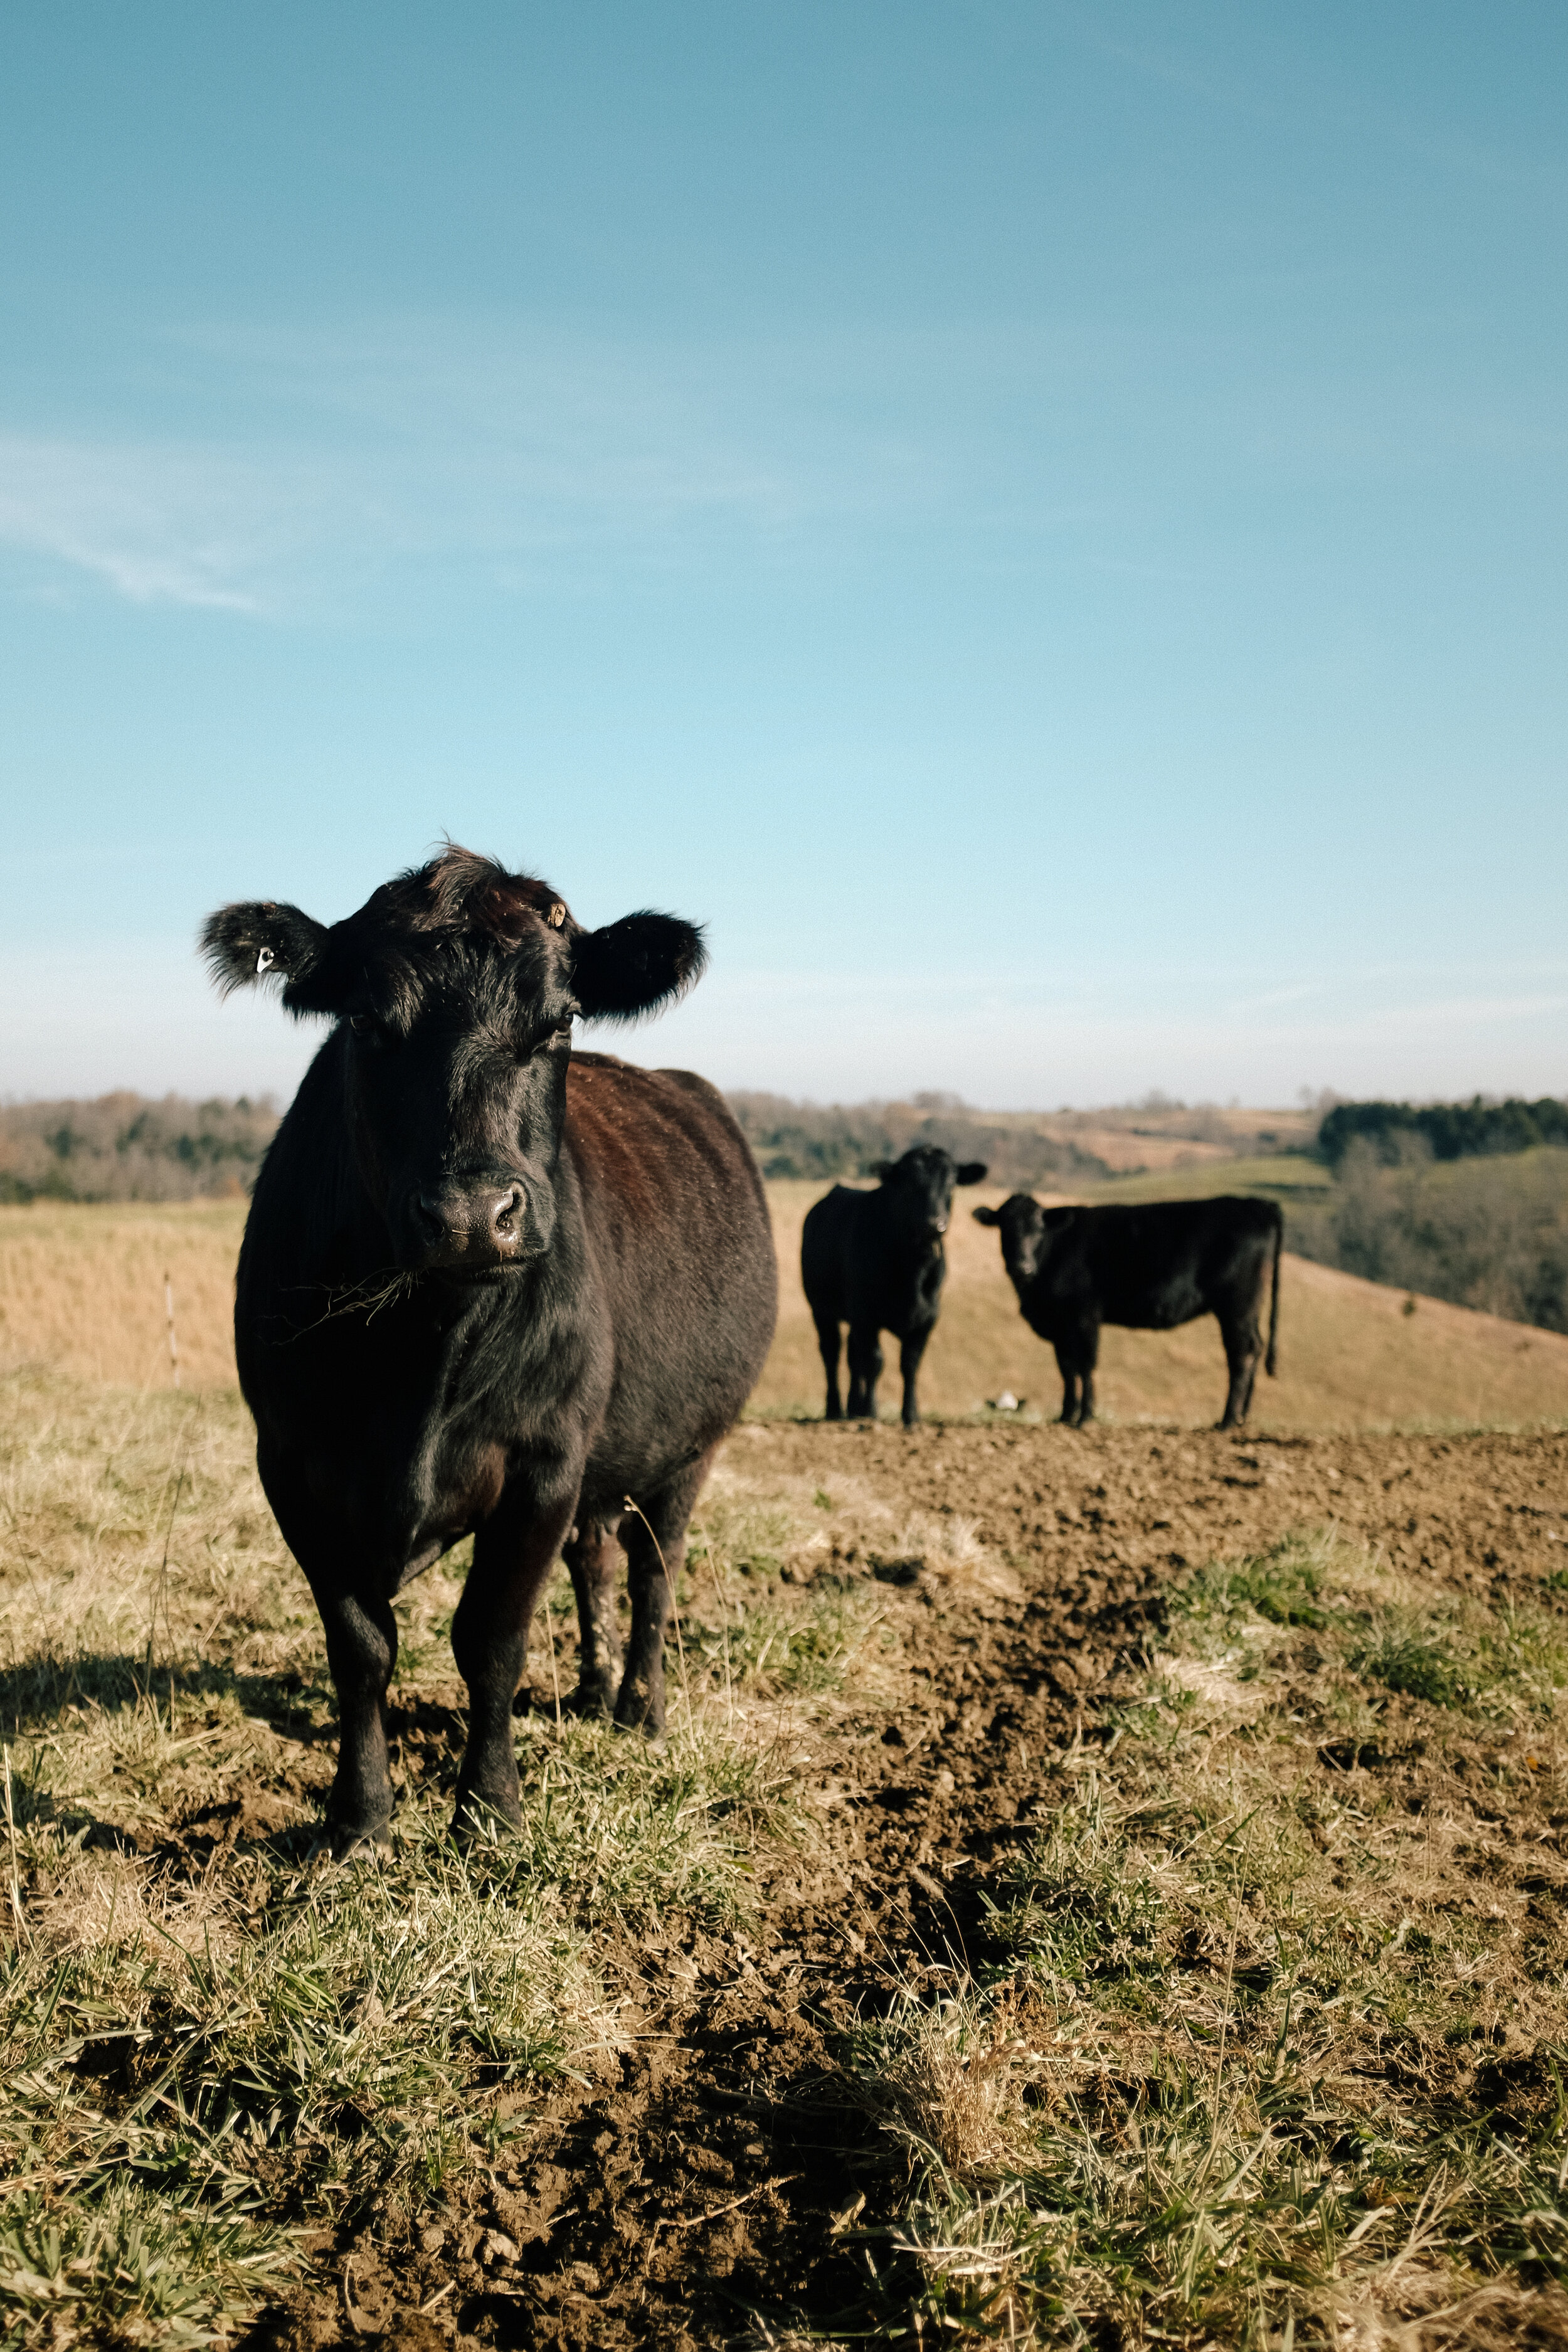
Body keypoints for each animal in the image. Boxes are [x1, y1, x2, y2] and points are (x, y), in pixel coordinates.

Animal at [201, 846, 776, 1854]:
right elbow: (361, 1647)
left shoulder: (543, 1462)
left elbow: (491, 1639)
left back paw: (639, 1707)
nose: (474, 1214)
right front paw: (359, 1818)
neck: (421, 1358)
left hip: (686, 1453)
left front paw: (491, 1809)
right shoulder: (293, 1465)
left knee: (653, 1574)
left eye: (560, 1020)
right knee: (596, 1561)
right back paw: (589, 1689)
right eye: (365, 1021)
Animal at [801, 1146, 987, 1426]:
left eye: (952, 1182)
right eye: (909, 1183)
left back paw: (853, 1406)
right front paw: (871, 1411)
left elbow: (909, 1363)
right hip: (821, 1309)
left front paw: (911, 1415)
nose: (935, 1224)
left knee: (853, 1356)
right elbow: (875, 1362)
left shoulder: (928, 1316)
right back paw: (835, 1409)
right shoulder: (866, 1314)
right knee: (832, 1353)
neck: (913, 1269)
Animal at [973, 1193, 1282, 1428]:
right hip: (1249, 1310)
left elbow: (1085, 1365)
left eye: (1038, 1228)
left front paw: (1085, 1417)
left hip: (1236, 1306)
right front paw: (1065, 1415)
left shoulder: (1084, 1316)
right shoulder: (1061, 1326)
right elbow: (1066, 1368)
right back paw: (1242, 1417)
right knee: (1256, 1347)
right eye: (1004, 1228)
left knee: (1242, 1354)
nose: (1021, 1267)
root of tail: (1260, 1204)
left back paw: (1228, 1420)